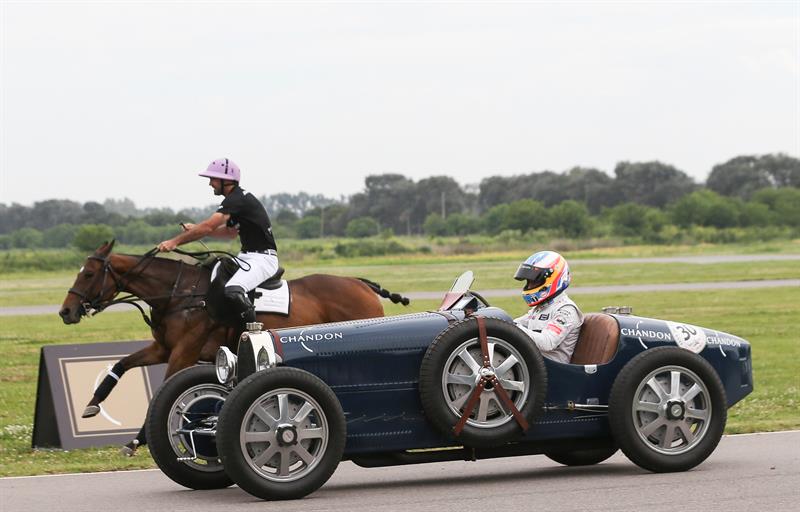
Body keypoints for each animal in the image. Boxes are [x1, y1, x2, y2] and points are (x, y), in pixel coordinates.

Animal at [59, 242, 410, 454]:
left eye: (89, 274)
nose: (66, 312)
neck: (179, 295)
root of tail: (361, 283)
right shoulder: (162, 349)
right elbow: (120, 365)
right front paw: (92, 405)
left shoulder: (183, 353)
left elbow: (162, 391)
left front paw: (137, 439)